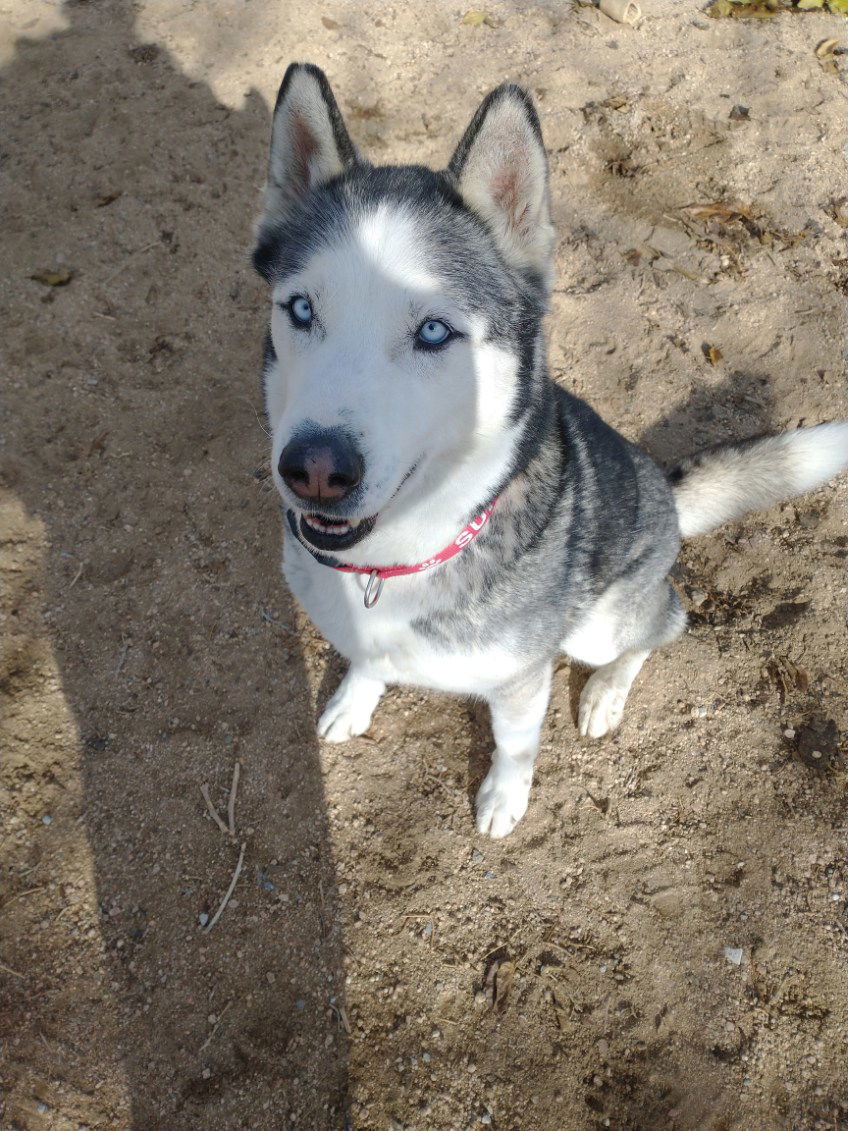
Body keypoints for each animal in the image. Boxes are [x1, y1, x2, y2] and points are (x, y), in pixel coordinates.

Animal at [254, 64, 848, 841]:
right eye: (301, 309)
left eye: (434, 331)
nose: (316, 470)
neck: (397, 560)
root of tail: (663, 487)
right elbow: (363, 661)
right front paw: (355, 699)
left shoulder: (518, 679)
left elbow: (515, 743)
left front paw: (505, 796)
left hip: (600, 622)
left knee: (667, 620)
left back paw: (605, 694)